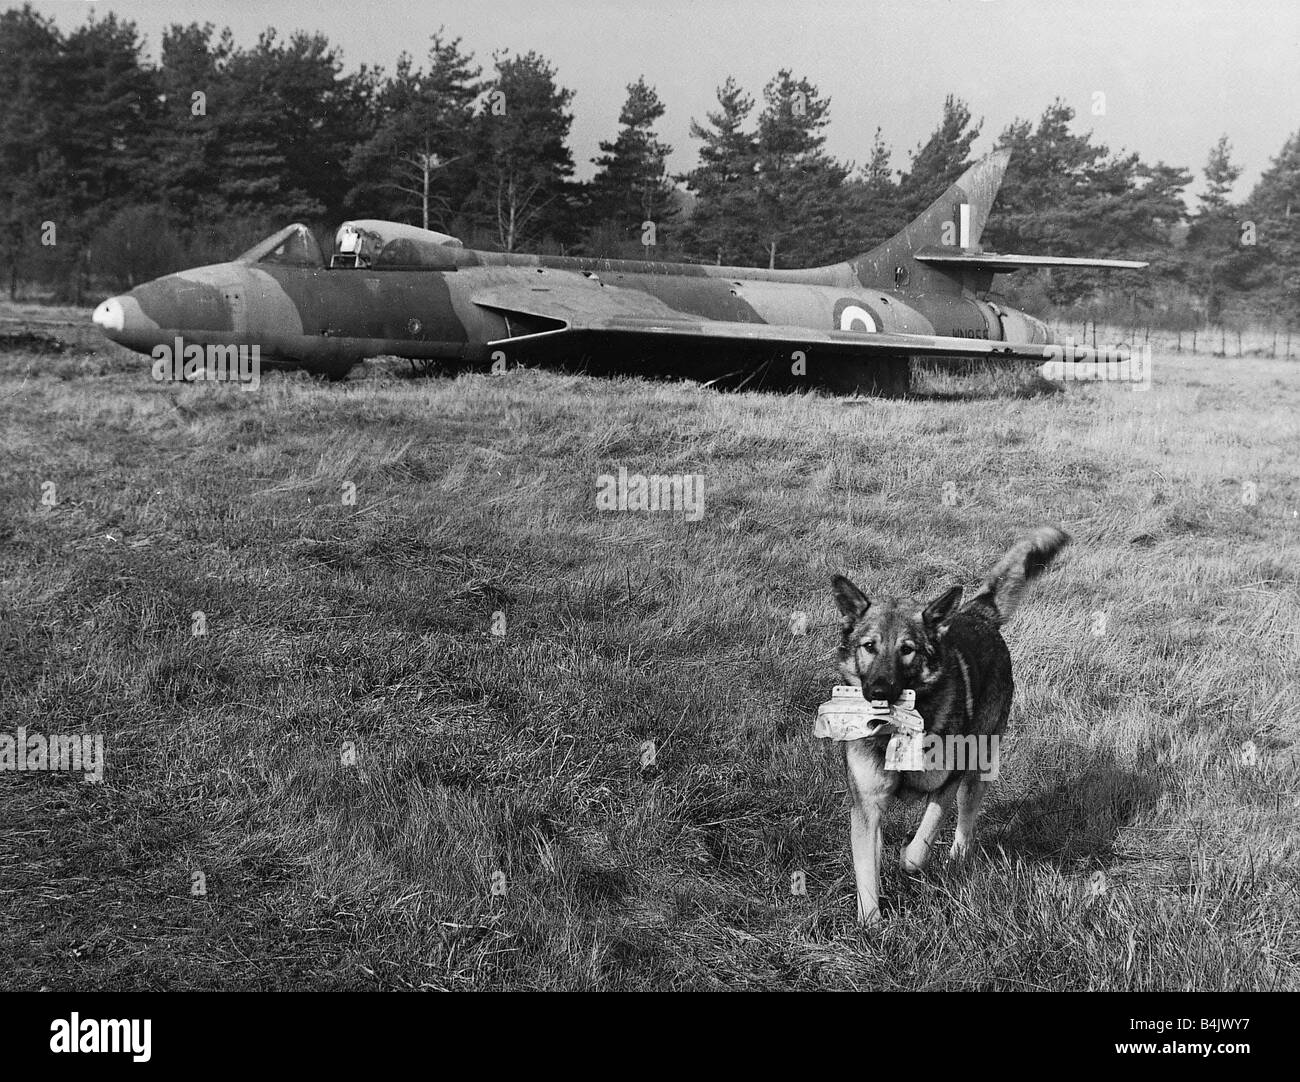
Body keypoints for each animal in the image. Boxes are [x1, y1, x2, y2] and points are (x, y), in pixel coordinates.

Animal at [832, 525, 1066, 920]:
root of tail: (977, 613)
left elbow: (921, 842)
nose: (878, 691)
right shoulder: (866, 806)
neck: (898, 731)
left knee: (965, 821)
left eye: (907, 649)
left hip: (977, 769)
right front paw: (871, 923)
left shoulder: (947, 783)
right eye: (869, 646)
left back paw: (956, 858)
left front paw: (907, 859)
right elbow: (866, 869)